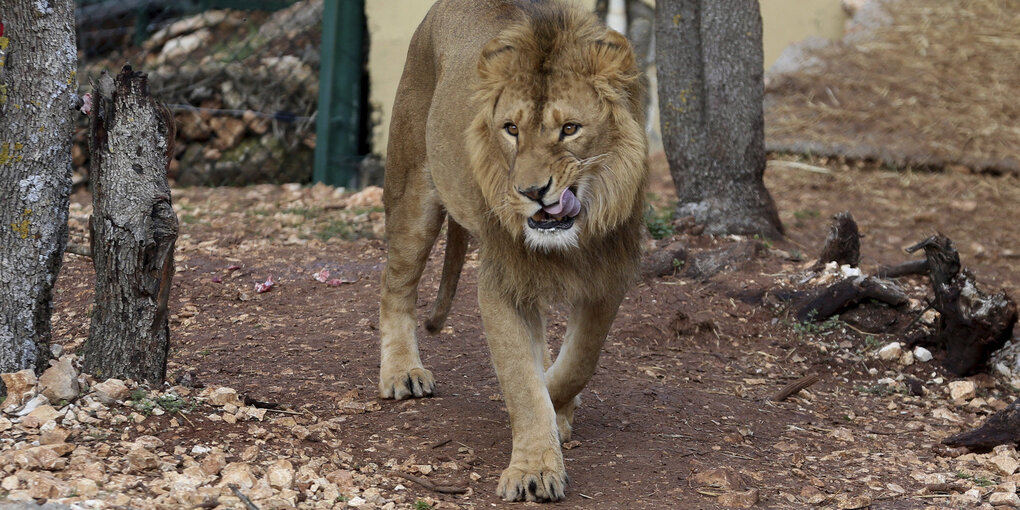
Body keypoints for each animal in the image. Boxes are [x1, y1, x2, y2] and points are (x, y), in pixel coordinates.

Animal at [379, 0, 648, 501]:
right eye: (510, 130)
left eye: (569, 129)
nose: (530, 192)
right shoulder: (502, 281)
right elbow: (523, 381)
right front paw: (533, 469)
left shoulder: (610, 276)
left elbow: (577, 362)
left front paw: (558, 412)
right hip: (412, 193)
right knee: (395, 285)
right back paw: (402, 373)